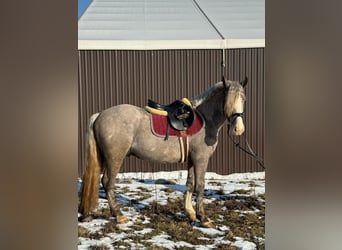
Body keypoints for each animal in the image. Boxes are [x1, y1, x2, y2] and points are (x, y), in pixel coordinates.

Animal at [79, 77, 247, 228]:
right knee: (108, 182)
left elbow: (190, 184)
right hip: (115, 158)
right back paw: (119, 215)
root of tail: (99, 115)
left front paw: (190, 213)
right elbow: (200, 186)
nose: (238, 129)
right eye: (228, 100)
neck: (205, 120)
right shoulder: (201, 159)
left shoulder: (192, 159)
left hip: (103, 157)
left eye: (243, 99)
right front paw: (204, 219)